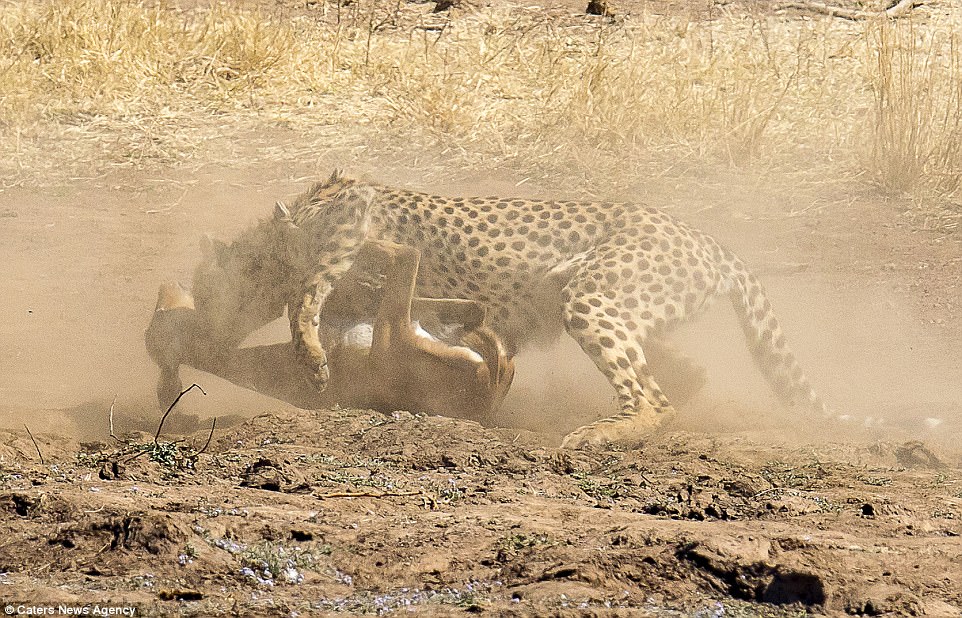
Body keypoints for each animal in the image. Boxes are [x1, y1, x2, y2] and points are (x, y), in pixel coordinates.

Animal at [191, 171, 828, 446]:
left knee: (658, 402)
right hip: (617, 303)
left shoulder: (352, 221)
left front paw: (312, 355)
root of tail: (710, 241)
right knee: (680, 377)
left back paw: (601, 433)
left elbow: (311, 288)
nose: (200, 327)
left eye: (202, 289)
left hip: (591, 298)